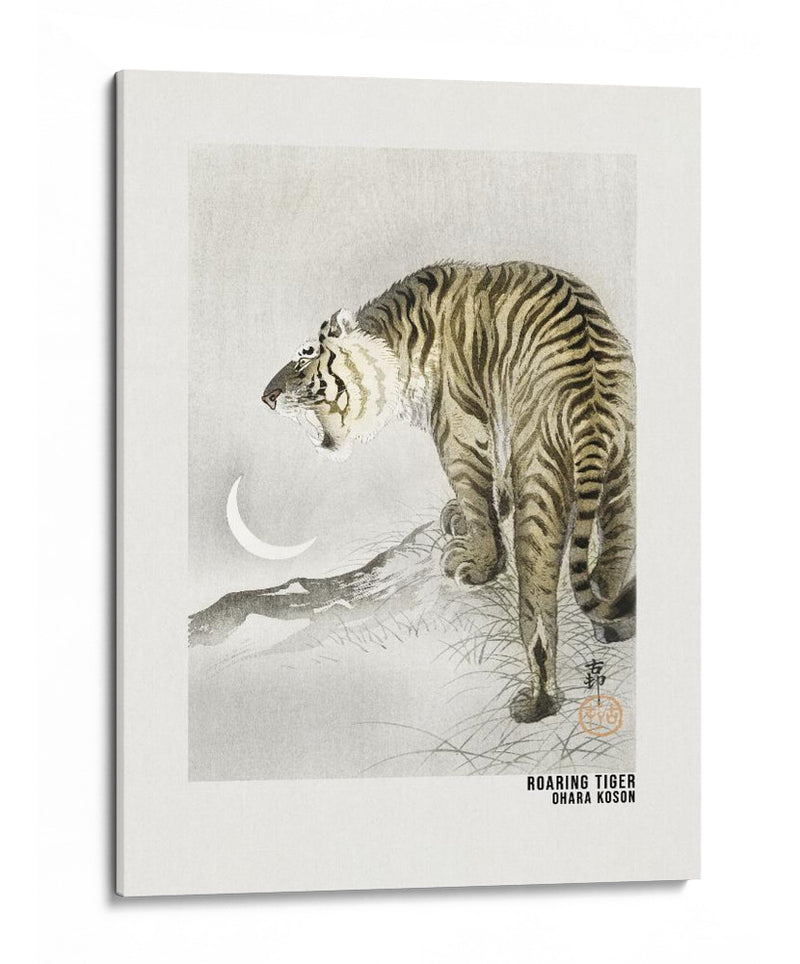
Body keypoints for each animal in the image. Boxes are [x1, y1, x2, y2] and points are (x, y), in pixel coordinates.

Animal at [262, 261, 635, 723]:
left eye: (304, 357)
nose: (266, 397)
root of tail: (592, 402)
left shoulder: (457, 429)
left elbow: (475, 493)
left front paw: (478, 562)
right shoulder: (497, 418)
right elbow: (493, 482)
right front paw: (471, 513)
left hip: (541, 480)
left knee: (538, 608)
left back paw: (537, 702)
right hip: (623, 476)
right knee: (615, 554)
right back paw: (614, 625)